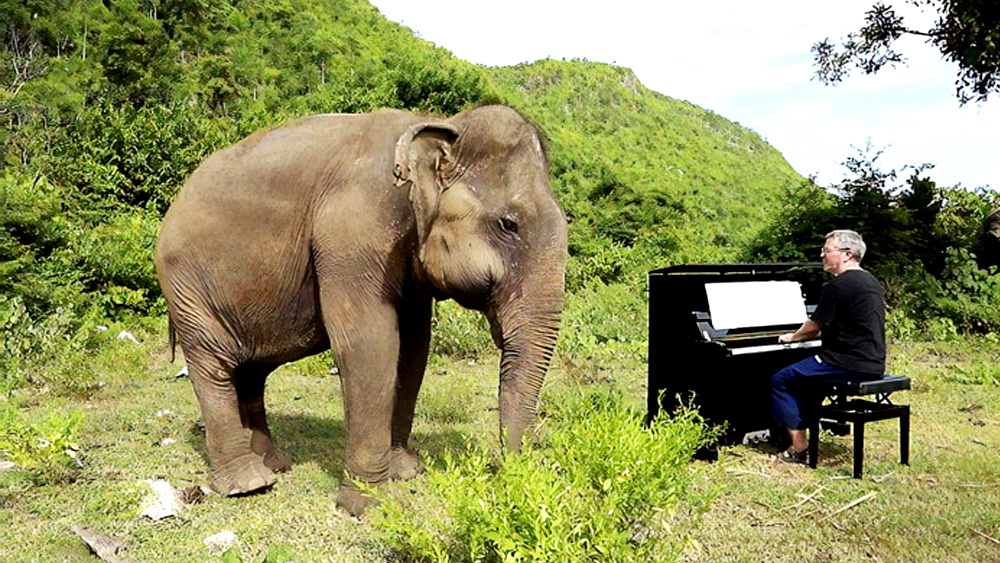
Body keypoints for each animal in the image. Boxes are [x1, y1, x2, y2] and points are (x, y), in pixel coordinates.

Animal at [152, 103, 568, 512]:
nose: (508, 471)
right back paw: (249, 484)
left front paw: (405, 471)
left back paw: (274, 465)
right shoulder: (352, 234)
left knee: (252, 371)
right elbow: (369, 344)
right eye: (509, 224)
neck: (435, 124)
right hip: (186, 287)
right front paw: (366, 502)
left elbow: (413, 348)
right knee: (213, 366)